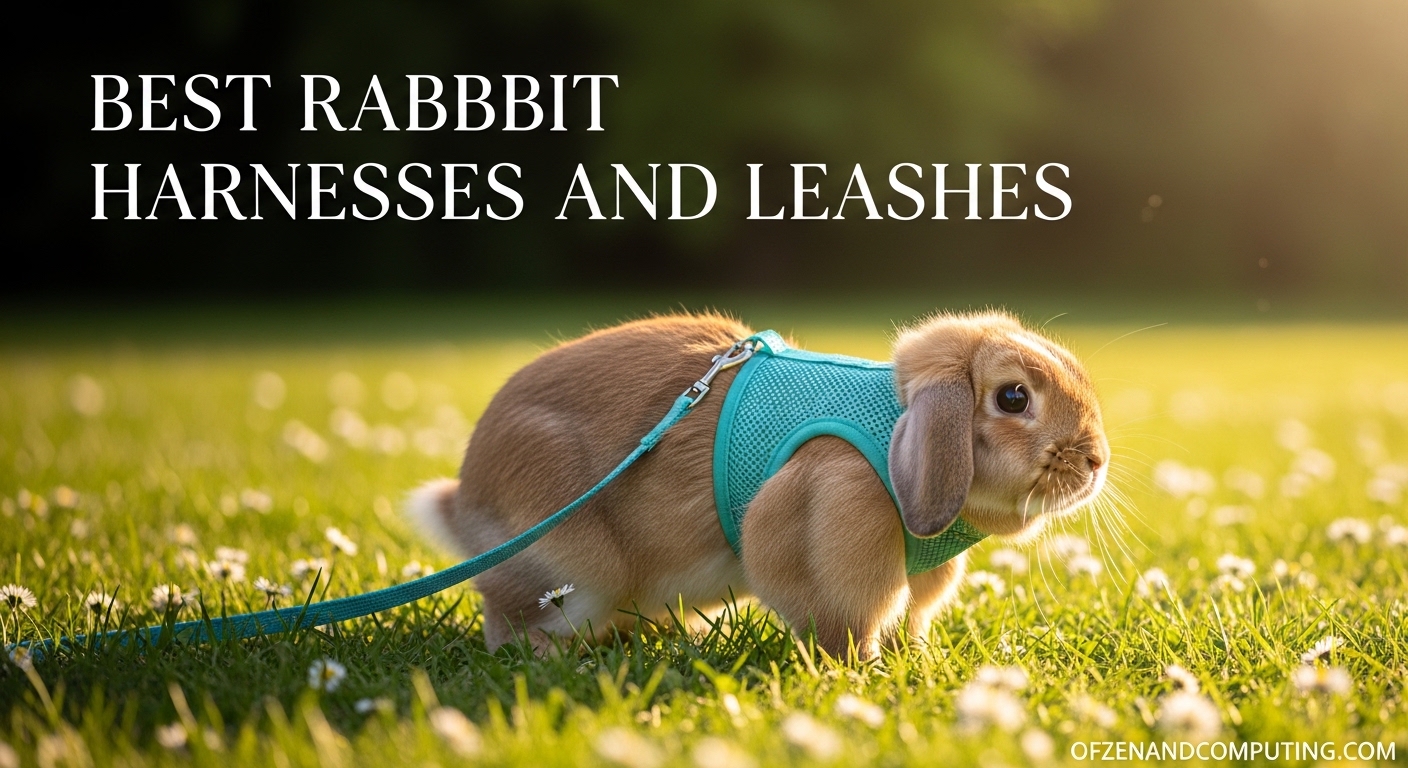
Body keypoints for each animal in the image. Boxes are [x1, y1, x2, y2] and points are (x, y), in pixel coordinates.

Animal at [406, 310, 1108, 658]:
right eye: (1013, 397)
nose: (1097, 461)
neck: (894, 428)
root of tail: (464, 502)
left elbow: (912, 617)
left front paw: (914, 658)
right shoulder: (834, 513)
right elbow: (846, 622)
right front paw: (861, 670)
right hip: (571, 571)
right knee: (510, 617)